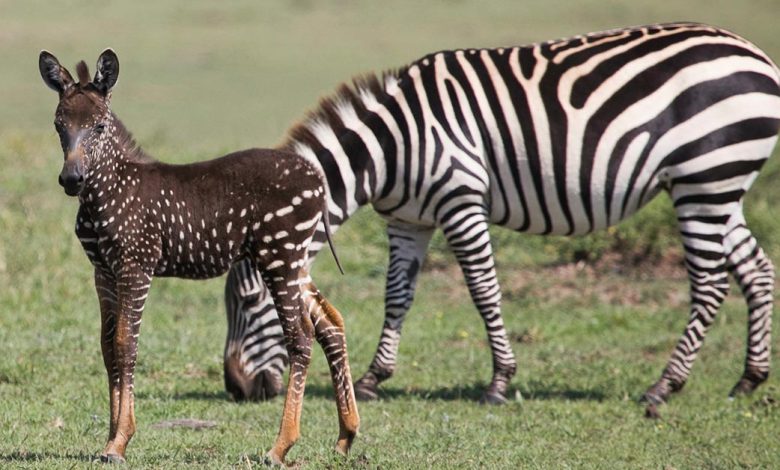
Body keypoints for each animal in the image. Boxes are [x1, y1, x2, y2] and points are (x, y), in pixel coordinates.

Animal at [40, 48, 360, 466]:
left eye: (99, 126)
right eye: (59, 125)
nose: (71, 180)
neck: (106, 194)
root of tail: (318, 180)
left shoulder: (136, 265)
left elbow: (127, 345)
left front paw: (120, 441)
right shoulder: (103, 271)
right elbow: (108, 347)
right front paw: (110, 438)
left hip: (280, 256)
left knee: (300, 337)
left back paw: (280, 446)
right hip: (294, 260)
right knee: (330, 322)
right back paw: (346, 435)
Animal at [222, 23, 776, 412]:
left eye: (249, 302)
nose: (236, 388)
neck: (387, 149)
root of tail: (757, 54)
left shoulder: (460, 199)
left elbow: (483, 289)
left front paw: (499, 381)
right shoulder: (408, 220)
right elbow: (397, 295)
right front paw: (374, 378)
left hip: (704, 179)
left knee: (709, 283)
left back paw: (664, 385)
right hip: (718, 186)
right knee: (756, 269)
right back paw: (748, 379)